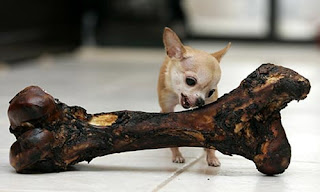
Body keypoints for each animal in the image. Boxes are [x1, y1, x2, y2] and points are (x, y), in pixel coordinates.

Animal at [157, 27, 230, 166]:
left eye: (211, 92)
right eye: (190, 81)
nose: (201, 101)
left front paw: (211, 156)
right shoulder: (167, 108)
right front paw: (177, 155)